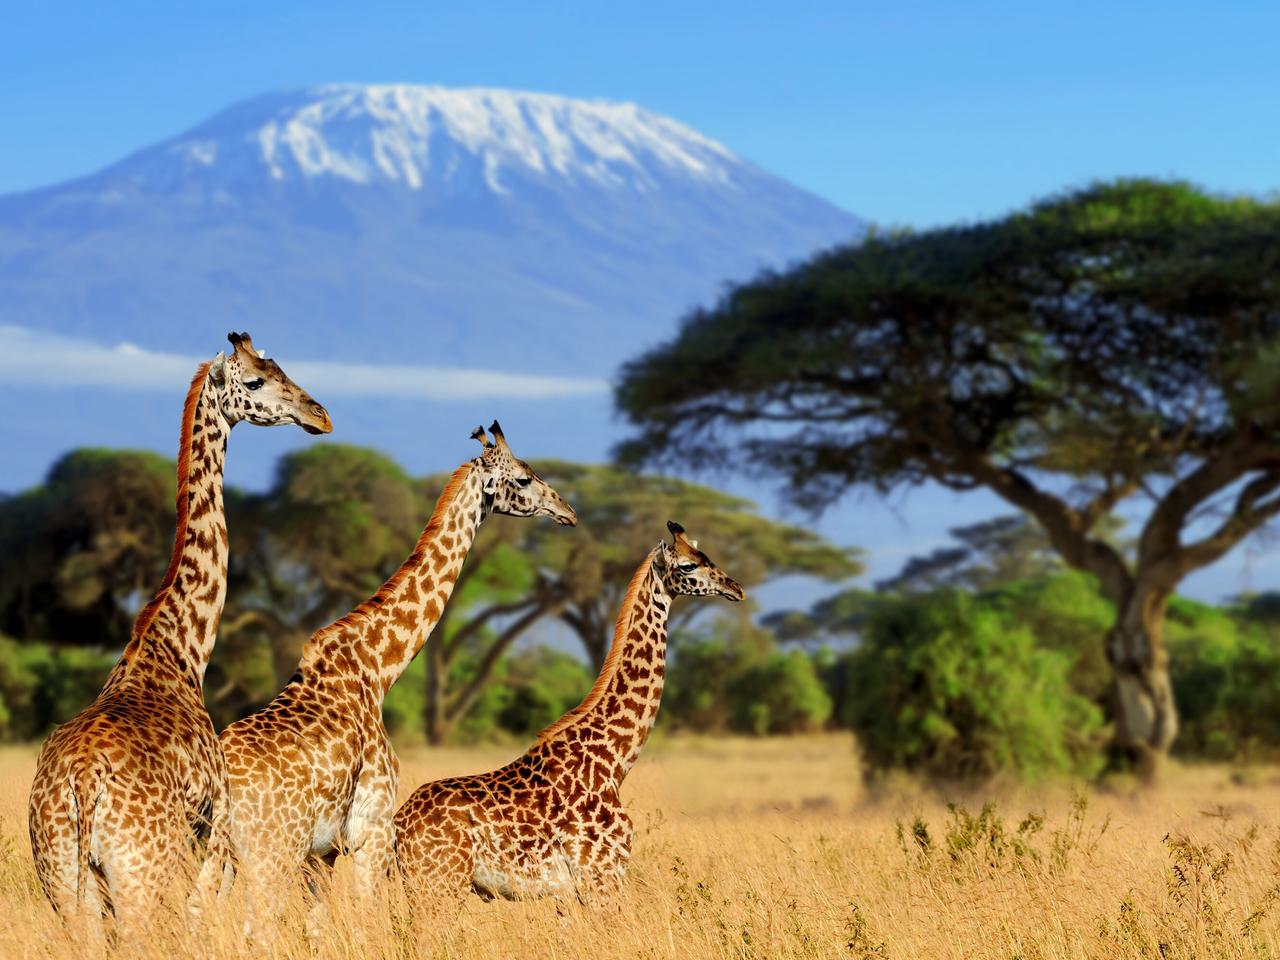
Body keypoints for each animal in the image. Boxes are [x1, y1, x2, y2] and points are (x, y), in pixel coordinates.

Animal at [27, 332, 332, 938]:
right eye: (256, 379)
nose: (320, 416)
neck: (181, 649)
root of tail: (81, 783)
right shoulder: (214, 829)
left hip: (64, 881)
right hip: (140, 875)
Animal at [217, 421, 577, 925]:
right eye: (524, 479)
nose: (568, 512)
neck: (378, 668)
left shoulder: (323, 853)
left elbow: (318, 926)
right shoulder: (372, 831)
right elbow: (368, 921)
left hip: (219, 856)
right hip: (272, 852)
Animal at [394, 520, 744, 904]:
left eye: (705, 555)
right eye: (688, 565)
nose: (736, 588)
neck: (614, 761)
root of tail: (397, 825)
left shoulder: (572, 893)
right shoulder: (601, 876)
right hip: (438, 883)